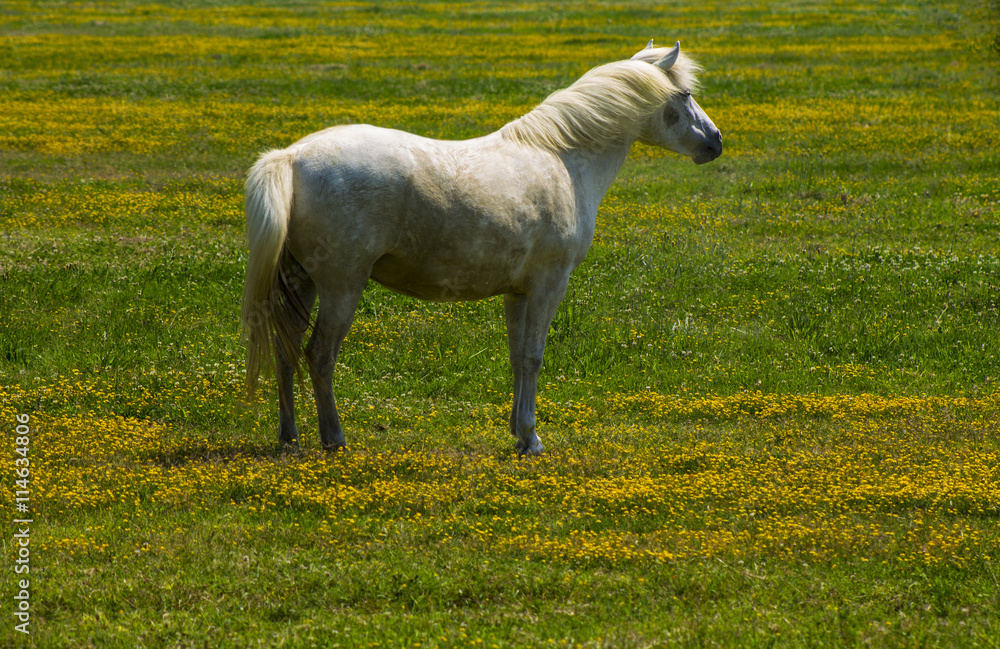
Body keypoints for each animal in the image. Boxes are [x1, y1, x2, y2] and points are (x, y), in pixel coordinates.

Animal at [242, 40, 722, 455]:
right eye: (685, 93)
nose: (715, 141)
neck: (562, 157)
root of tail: (291, 158)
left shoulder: (517, 292)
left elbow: (516, 357)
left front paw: (518, 430)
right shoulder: (550, 284)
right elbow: (533, 356)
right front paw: (531, 439)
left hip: (300, 283)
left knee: (286, 351)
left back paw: (289, 437)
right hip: (342, 287)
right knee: (319, 356)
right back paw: (334, 438)